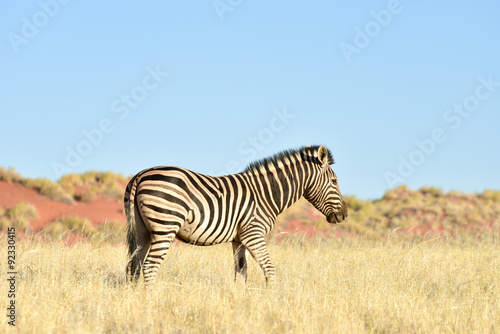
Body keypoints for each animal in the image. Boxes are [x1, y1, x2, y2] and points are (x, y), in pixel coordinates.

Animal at [125, 145, 348, 286]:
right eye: (335, 181)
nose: (344, 214)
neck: (266, 194)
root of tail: (140, 175)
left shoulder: (239, 239)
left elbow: (241, 274)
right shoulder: (253, 233)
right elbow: (269, 269)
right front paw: (272, 301)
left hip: (142, 230)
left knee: (134, 266)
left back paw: (137, 301)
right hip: (165, 226)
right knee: (150, 266)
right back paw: (152, 300)